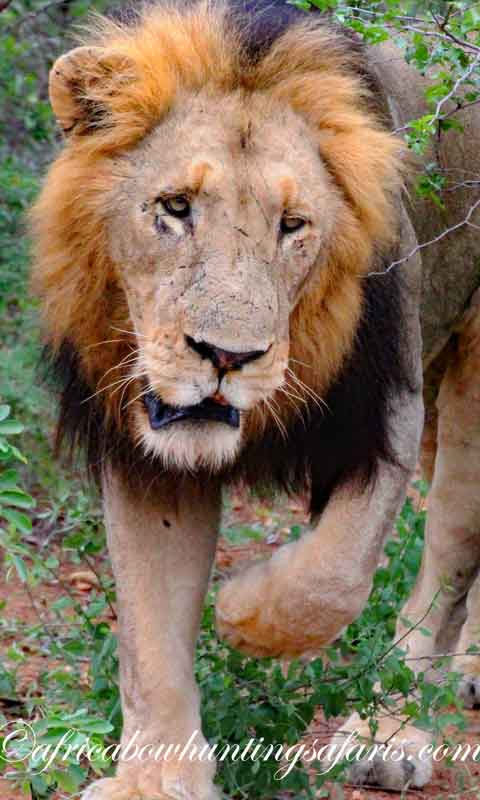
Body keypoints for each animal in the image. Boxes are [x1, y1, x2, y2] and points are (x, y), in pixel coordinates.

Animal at [30, 0, 480, 796]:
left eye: (292, 225)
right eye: (175, 207)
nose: (227, 357)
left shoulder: (387, 413)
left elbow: (330, 577)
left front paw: (242, 615)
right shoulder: (147, 454)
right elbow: (150, 635)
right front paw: (155, 781)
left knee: (451, 548)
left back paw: (393, 730)